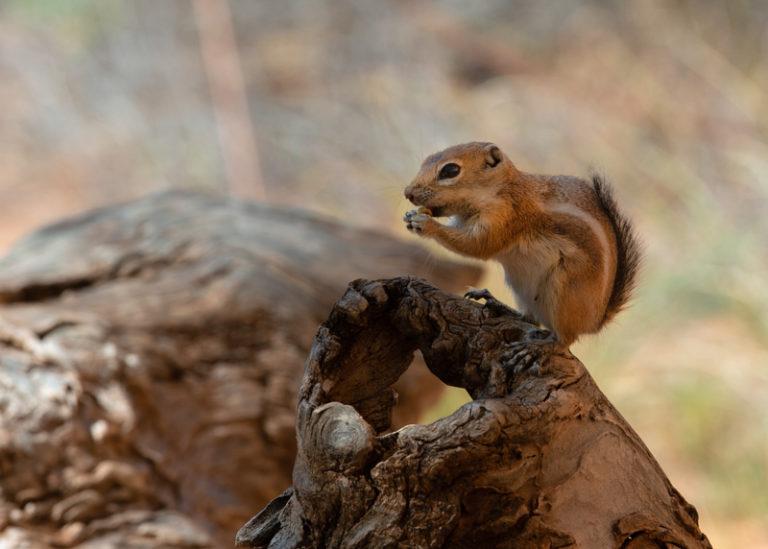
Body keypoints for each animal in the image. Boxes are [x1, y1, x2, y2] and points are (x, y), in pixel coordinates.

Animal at [404, 141, 640, 372]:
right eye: (426, 160)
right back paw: (496, 302)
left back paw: (538, 348)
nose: (408, 193)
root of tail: (596, 321)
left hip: (565, 294)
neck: (502, 189)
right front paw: (410, 216)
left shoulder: (507, 217)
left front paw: (427, 225)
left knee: (564, 340)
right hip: (520, 285)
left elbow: (478, 246)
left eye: (451, 170)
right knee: (531, 319)